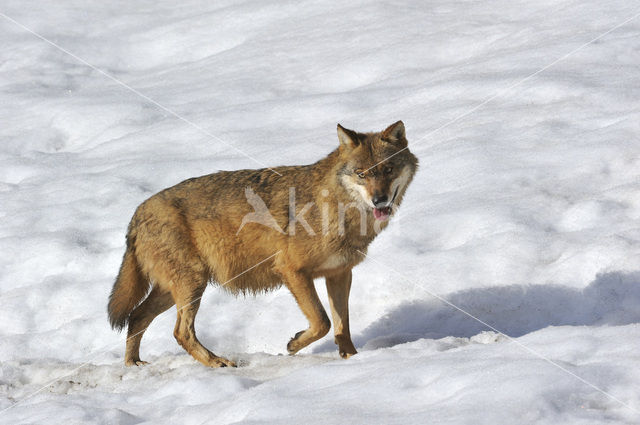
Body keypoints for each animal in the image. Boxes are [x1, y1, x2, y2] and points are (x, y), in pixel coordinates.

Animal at [107, 121, 418, 366]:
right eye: (362, 174)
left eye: (388, 169)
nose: (379, 200)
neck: (335, 207)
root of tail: (137, 213)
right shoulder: (292, 271)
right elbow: (322, 322)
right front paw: (293, 344)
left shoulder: (340, 274)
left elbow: (342, 325)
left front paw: (353, 359)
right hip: (192, 284)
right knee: (180, 332)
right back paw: (217, 362)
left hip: (176, 290)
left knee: (136, 317)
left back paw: (134, 364)